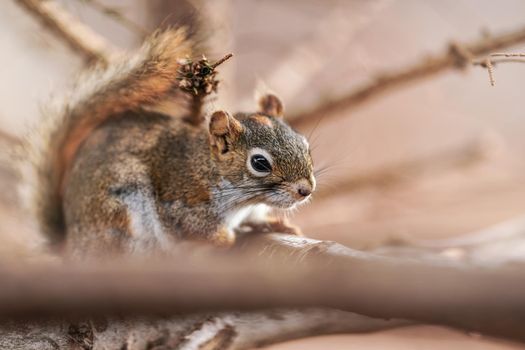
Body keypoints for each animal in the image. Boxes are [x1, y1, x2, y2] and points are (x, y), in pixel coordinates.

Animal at [21, 28, 316, 256]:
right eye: (259, 163)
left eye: (305, 145)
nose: (306, 190)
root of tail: (71, 244)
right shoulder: (184, 203)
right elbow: (196, 228)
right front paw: (228, 237)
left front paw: (274, 225)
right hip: (119, 209)